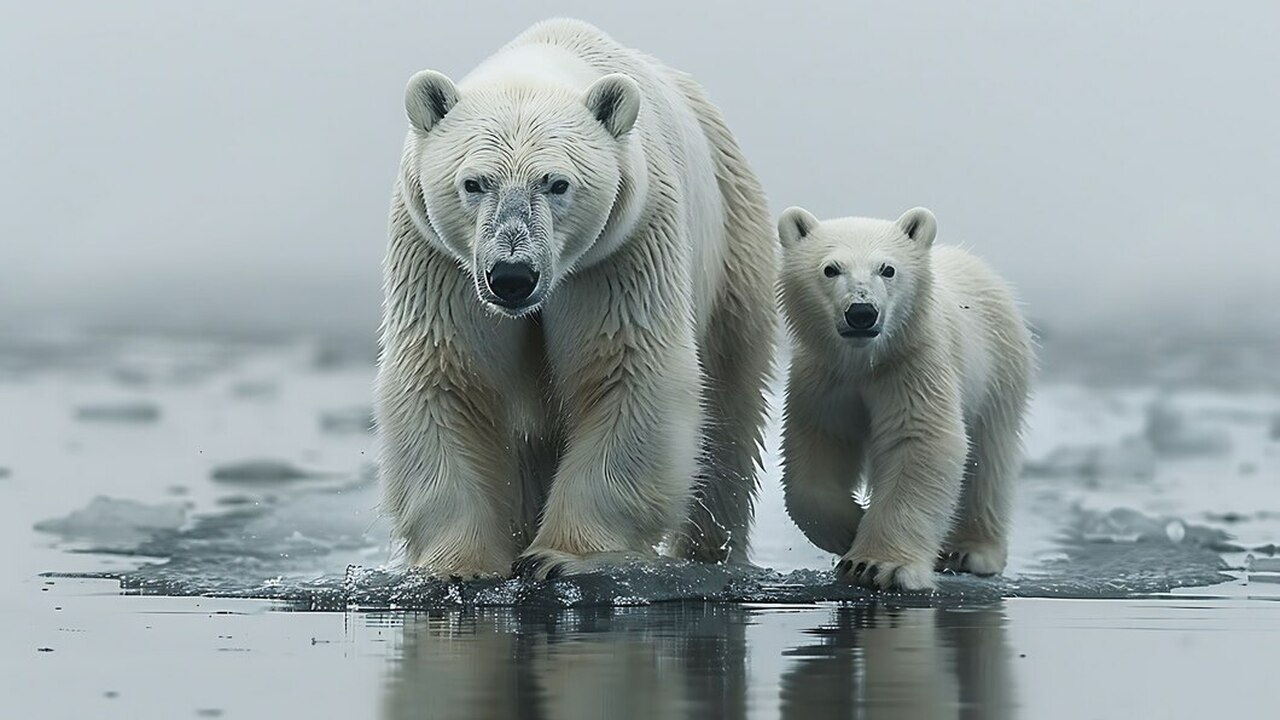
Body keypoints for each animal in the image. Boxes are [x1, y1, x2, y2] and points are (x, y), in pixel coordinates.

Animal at [373, 18, 773, 576]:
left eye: (556, 183)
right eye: (474, 182)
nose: (512, 276)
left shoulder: (620, 249)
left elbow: (626, 370)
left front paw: (560, 556)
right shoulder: (440, 257)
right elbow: (448, 375)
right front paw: (460, 563)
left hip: (733, 244)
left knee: (729, 411)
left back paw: (709, 551)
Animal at [773, 207, 1034, 589]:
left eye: (888, 268)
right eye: (830, 268)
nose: (861, 313)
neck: (866, 362)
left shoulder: (912, 365)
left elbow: (918, 439)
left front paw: (875, 565)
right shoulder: (824, 378)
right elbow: (819, 447)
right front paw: (850, 527)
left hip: (999, 369)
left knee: (987, 458)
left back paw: (971, 551)